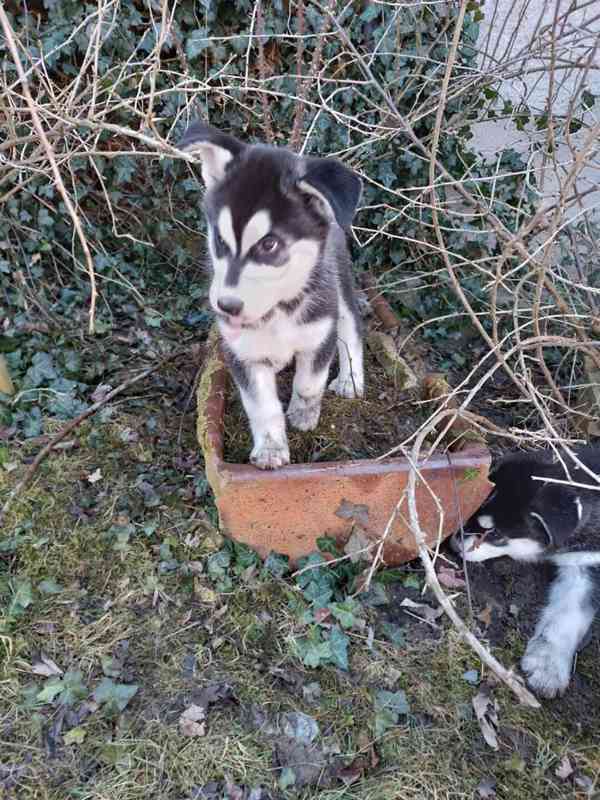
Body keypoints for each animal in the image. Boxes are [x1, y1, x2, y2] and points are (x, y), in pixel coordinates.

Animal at [178, 123, 364, 468]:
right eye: (220, 240)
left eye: (269, 244)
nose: (226, 306)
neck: (279, 310)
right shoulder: (242, 354)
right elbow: (262, 406)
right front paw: (271, 448)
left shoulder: (319, 333)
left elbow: (309, 383)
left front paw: (303, 414)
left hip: (341, 288)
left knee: (352, 330)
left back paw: (351, 379)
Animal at [450, 446, 600, 696]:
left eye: (496, 534)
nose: (452, 542)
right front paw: (546, 663)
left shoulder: (587, 565)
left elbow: (567, 615)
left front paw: (547, 667)